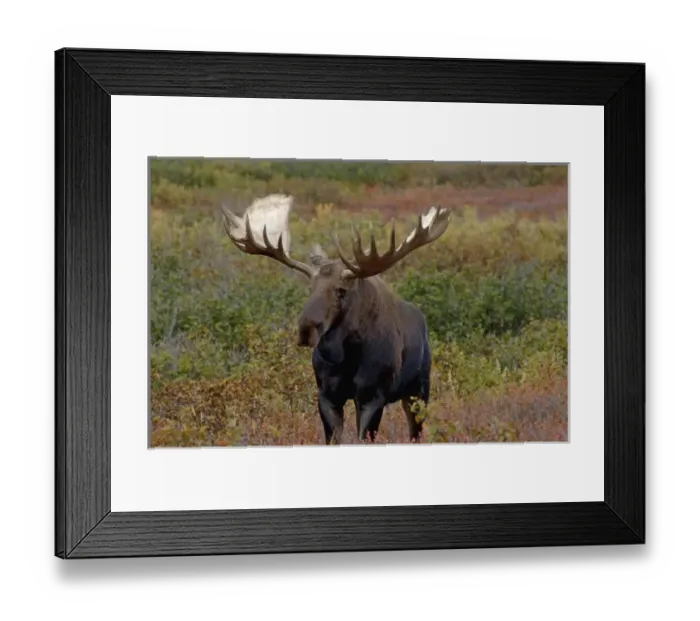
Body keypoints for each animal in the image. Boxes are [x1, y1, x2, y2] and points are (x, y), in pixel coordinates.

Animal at [221, 194, 451, 445]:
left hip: (419, 390)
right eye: (310, 287)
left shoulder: (372, 396)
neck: (346, 356)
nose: (306, 329)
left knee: (415, 433)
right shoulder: (327, 395)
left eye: (341, 290)